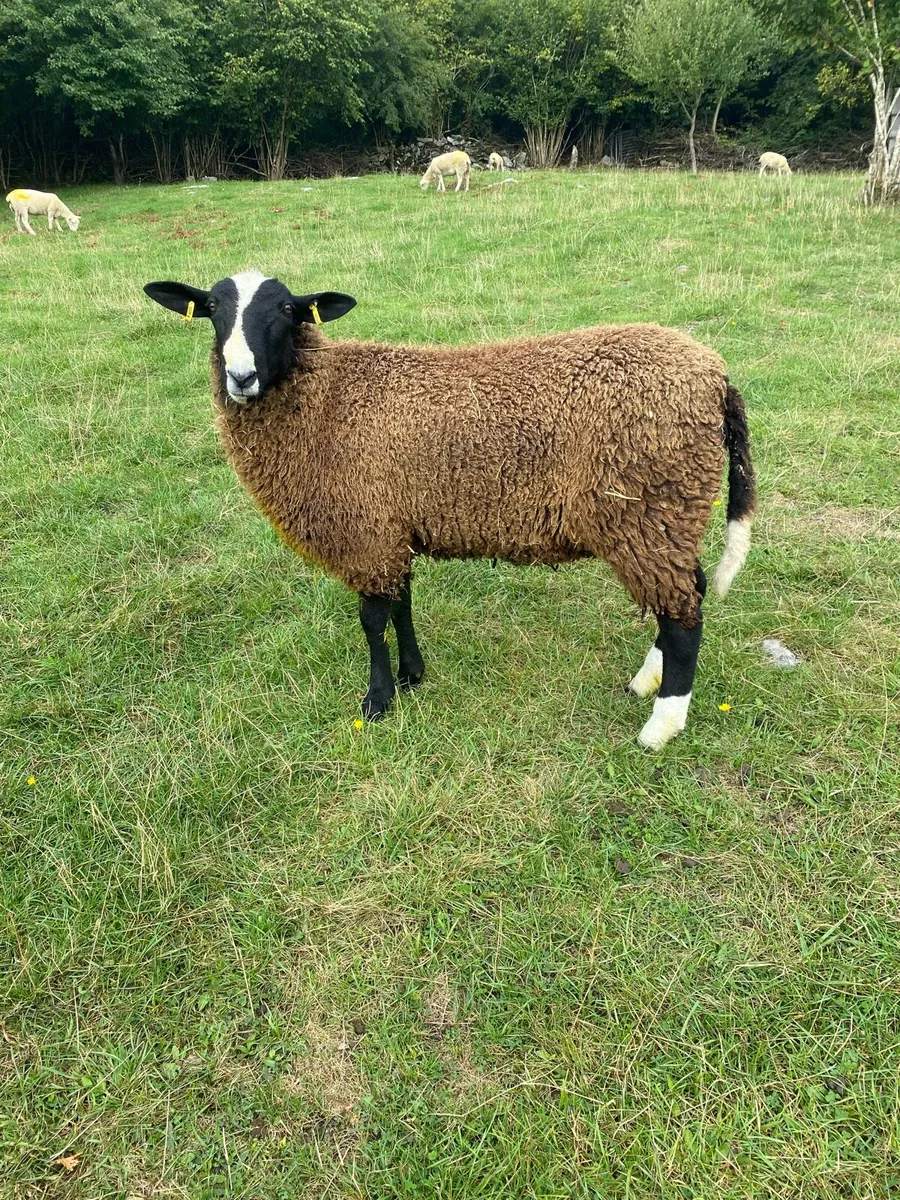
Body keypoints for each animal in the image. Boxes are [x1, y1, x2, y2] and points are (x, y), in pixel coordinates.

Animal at [143, 271, 756, 750]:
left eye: (288, 310)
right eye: (213, 309)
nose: (240, 377)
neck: (327, 397)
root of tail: (716, 376)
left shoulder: (367, 530)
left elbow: (372, 620)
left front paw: (377, 700)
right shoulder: (392, 527)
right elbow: (400, 605)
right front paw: (412, 675)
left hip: (647, 509)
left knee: (684, 617)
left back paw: (661, 724)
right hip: (667, 515)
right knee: (690, 591)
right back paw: (646, 681)